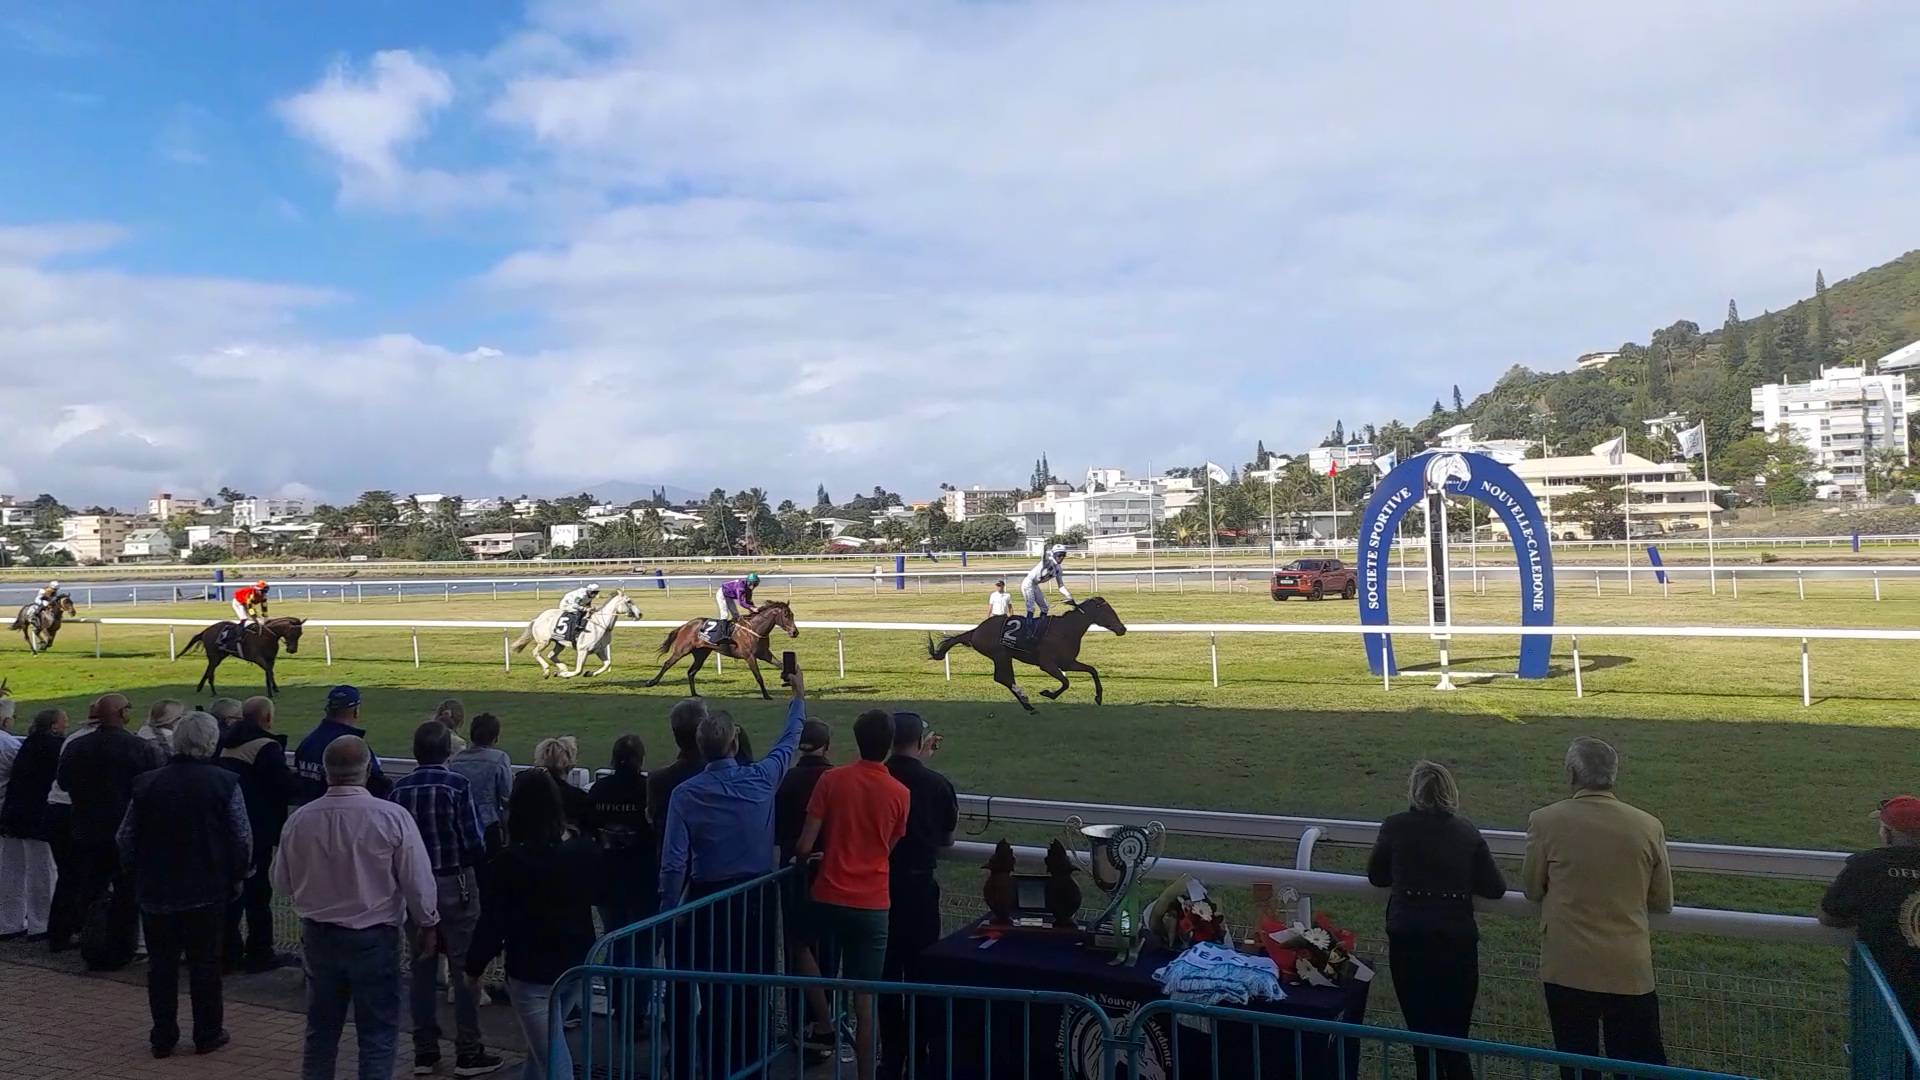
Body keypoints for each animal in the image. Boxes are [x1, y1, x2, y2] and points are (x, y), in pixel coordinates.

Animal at [510, 588, 645, 672]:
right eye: (629, 601)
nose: (640, 614)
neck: (601, 625)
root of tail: (538, 618)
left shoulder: (598, 649)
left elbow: (607, 664)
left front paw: (589, 673)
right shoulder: (583, 650)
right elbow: (578, 670)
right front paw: (566, 674)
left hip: (560, 643)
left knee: (551, 655)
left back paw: (562, 668)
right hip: (544, 641)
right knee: (535, 652)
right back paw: (547, 670)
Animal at [645, 595, 794, 699]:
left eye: (792, 615)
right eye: (786, 615)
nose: (795, 632)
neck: (755, 629)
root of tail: (685, 625)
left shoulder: (764, 654)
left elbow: (781, 665)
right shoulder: (749, 656)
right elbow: (758, 676)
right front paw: (766, 695)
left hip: (701, 654)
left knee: (691, 672)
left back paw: (695, 694)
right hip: (682, 650)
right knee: (667, 663)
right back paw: (652, 682)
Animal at [925, 591, 1121, 711]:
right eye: (1109, 612)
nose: (1122, 629)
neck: (1066, 630)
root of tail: (975, 631)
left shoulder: (1067, 662)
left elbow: (1092, 670)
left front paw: (1098, 697)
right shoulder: (1047, 664)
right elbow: (1065, 682)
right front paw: (1048, 693)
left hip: (1004, 656)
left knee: (1004, 678)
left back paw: (1027, 704)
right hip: (1000, 655)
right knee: (1002, 678)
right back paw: (1027, 703)